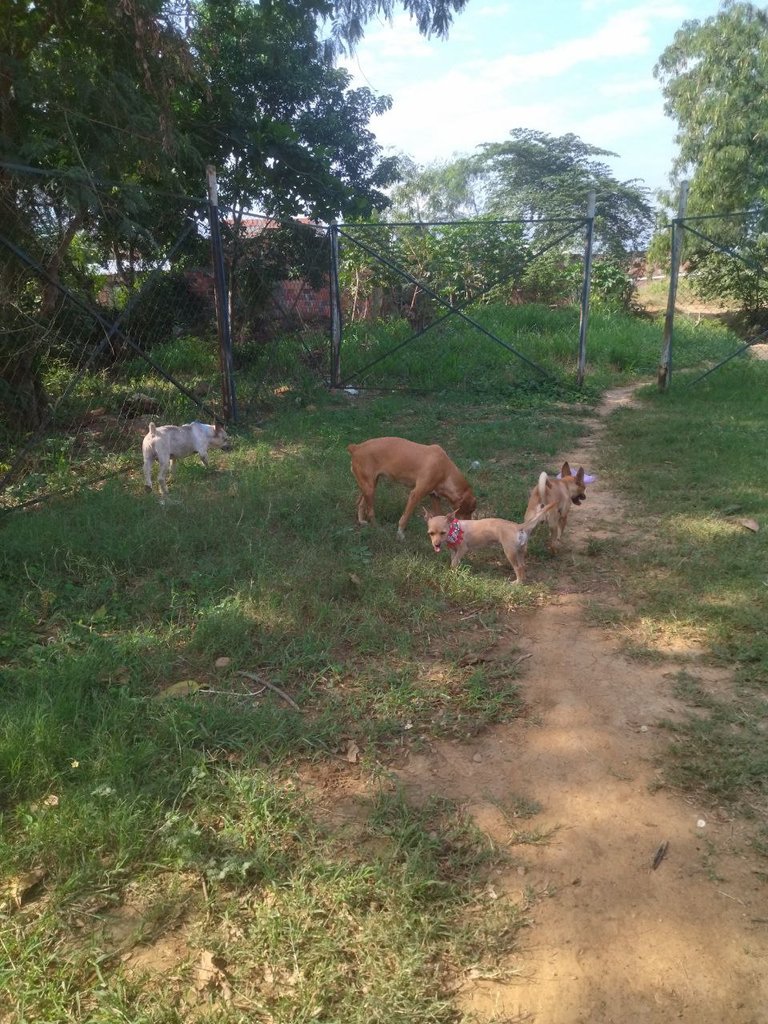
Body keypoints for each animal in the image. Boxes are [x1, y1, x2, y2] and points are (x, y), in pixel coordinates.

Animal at [423, 501, 557, 585]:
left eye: (443, 533)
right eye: (431, 533)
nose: (436, 545)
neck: (453, 530)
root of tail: (517, 526)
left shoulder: (462, 549)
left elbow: (454, 561)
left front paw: (452, 572)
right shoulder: (454, 550)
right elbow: (454, 560)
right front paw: (454, 572)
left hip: (509, 552)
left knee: (517, 568)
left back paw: (517, 583)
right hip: (520, 552)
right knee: (522, 566)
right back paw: (522, 580)